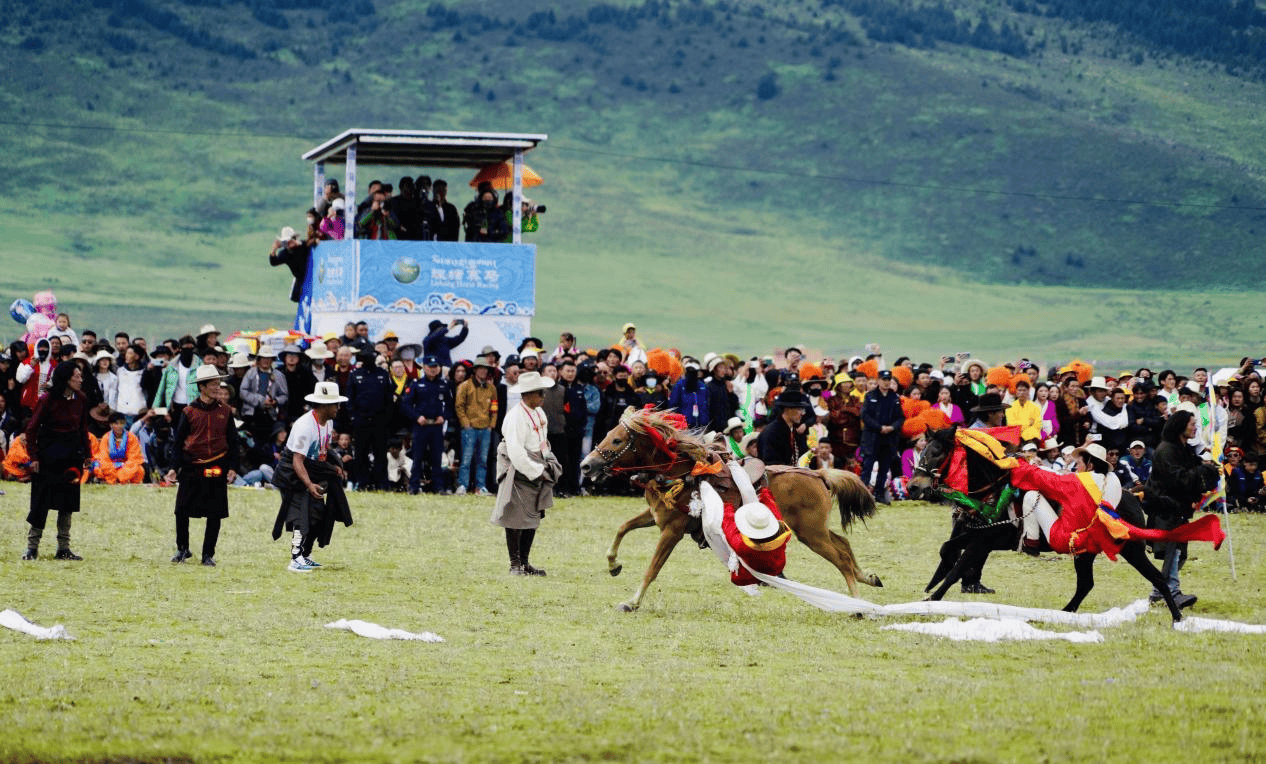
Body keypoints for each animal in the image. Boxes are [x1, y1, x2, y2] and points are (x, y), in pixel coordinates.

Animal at [579, 410, 881, 613]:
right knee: (843, 545)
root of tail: (819, 474)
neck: (680, 472)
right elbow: (622, 527)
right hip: (815, 530)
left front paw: (632, 602)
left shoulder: (672, 530)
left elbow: (652, 568)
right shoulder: (656, 517)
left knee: (841, 559)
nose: (585, 465)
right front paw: (613, 565)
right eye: (606, 436)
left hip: (811, 533)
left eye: (617, 441)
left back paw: (858, 605)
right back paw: (868, 578)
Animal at [906, 428, 1190, 625]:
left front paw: (931, 600)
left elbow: (958, 569)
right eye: (923, 451)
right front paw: (932, 584)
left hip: (1131, 550)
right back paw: (1063, 614)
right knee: (1086, 584)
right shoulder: (978, 536)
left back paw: (1177, 618)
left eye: (937, 454)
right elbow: (947, 549)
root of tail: (1134, 497)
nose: (913, 487)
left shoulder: (984, 541)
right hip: (1086, 553)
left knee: (1157, 578)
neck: (995, 489)